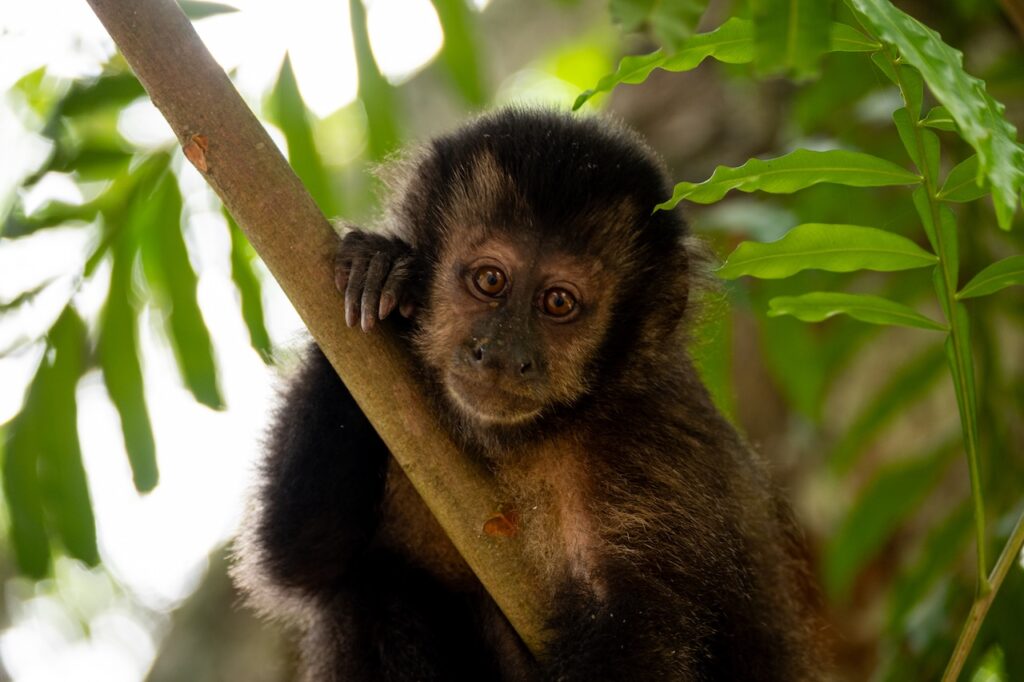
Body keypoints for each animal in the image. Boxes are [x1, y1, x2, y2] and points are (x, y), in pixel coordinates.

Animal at [234, 109, 823, 675]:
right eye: (490, 281)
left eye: (558, 303)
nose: (500, 354)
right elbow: (305, 557)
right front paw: (384, 271)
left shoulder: (654, 454)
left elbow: (636, 641)